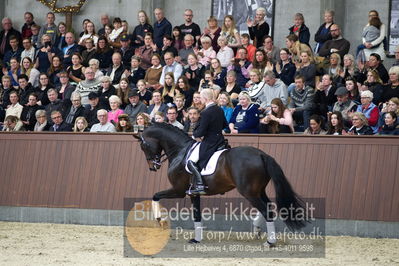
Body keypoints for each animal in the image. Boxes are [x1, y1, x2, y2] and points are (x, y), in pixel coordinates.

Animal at [134, 122, 306, 245]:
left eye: (143, 146)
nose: (153, 167)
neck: (180, 151)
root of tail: (261, 154)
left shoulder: (179, 190)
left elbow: (156, 196)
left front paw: (160, 220)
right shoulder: (193, 193)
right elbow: (197, 215)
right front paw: (197, 239)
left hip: (249, 192)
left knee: (266, 210)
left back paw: (270, 241)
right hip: (259, 190)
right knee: (269, 207)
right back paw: (258, 229)